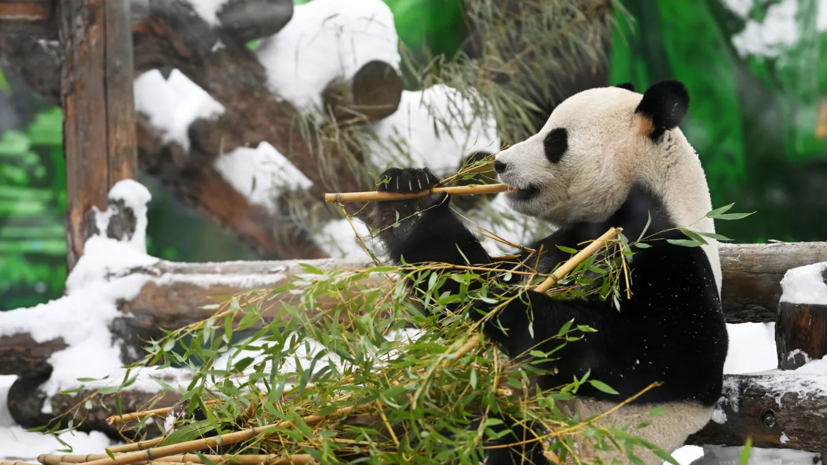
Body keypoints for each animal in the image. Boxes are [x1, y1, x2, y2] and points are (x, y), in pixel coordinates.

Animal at [366, 79, 728, 460]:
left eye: (554, 141)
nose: (499, 163)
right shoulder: (557, 244)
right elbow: (460, 279)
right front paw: (409, 199)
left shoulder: (670, 252)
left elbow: (673, 350)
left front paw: (511, 307)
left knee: (495, 437)